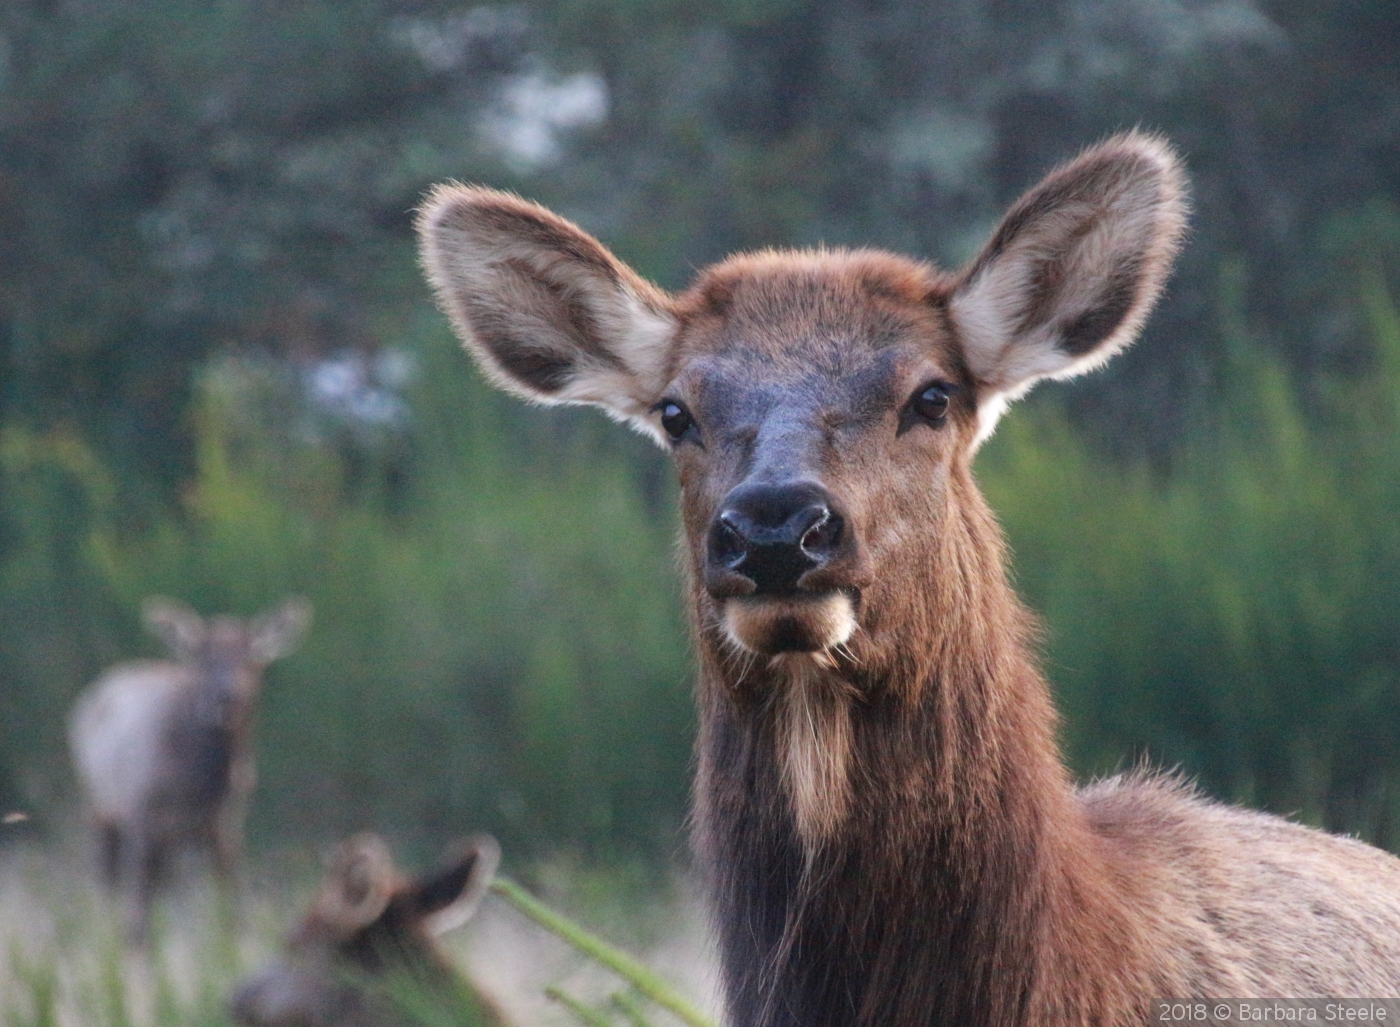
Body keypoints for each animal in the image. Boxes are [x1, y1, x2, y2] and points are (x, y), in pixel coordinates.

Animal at [68, 598, 312, 945]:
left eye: (252, 657)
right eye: (203, 658)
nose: (227, 698)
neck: (199, 782)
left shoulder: (224, 827)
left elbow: (232, 914)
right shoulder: (141, 822)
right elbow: (137, 918)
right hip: (100, 810)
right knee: (108, 886)